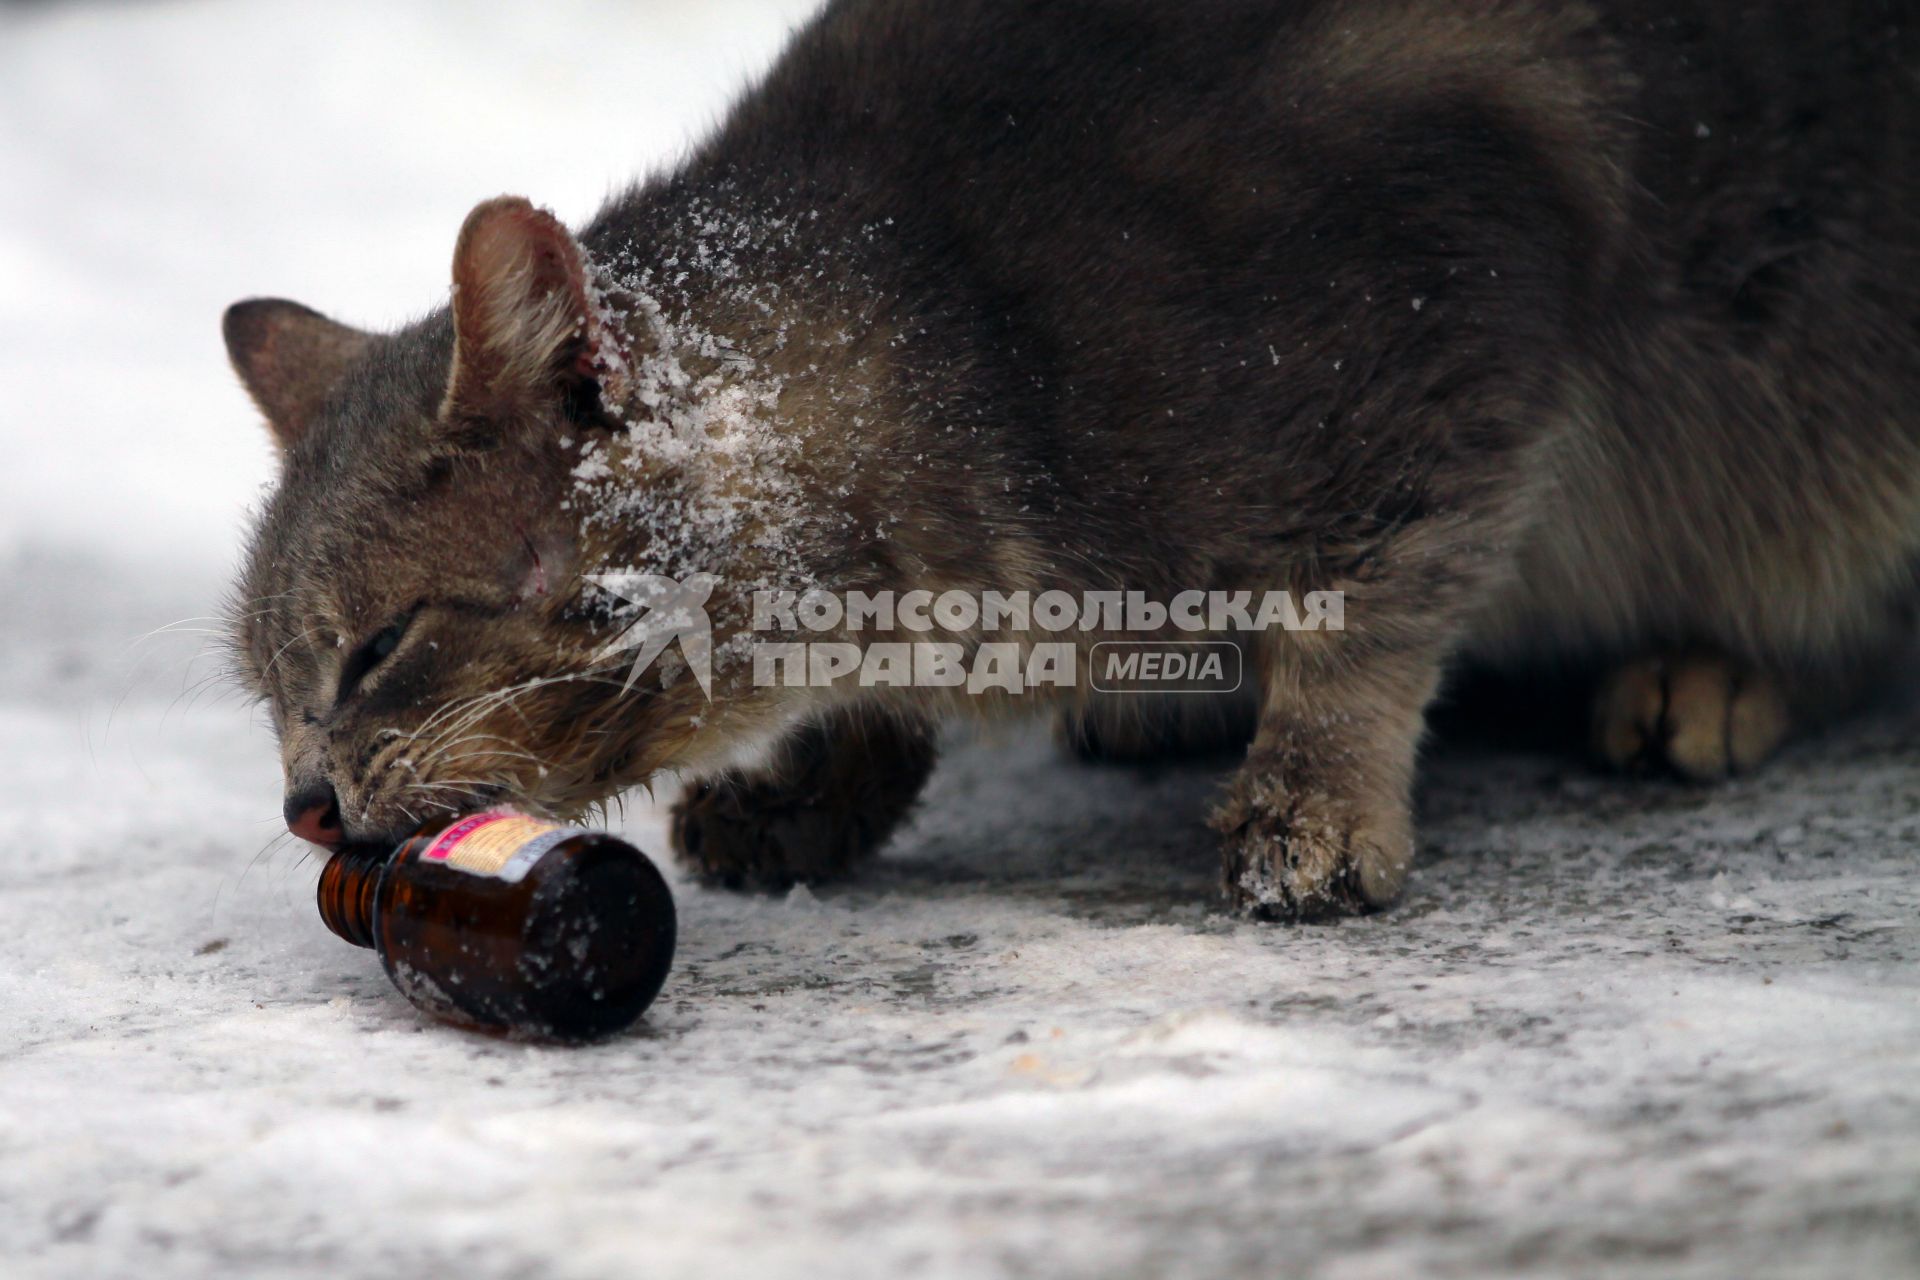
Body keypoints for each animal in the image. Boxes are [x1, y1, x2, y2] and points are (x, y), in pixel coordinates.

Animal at [224, 0, 1920, 921]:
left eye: (376, 648)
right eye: (270, 689)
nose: (302, 802)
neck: (968, 313)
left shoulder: (1458, 320)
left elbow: (1367, 623)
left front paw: (1315, 801)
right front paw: (818, 780)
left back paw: (1710, 674)